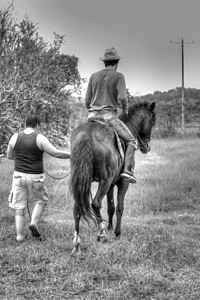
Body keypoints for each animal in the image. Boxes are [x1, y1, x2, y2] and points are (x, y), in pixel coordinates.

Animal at [70, 99, 156, 254]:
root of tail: (86, 135)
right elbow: (119, 207)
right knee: (96, 203)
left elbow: (110, 207)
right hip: (104, 180)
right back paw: (101, 234)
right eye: (152, 121)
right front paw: (116, 233)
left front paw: (110, 228)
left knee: (77, 207)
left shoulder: (111, 183)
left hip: (81, 179)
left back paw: (77, 243)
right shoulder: (122, 183)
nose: (146, 147)